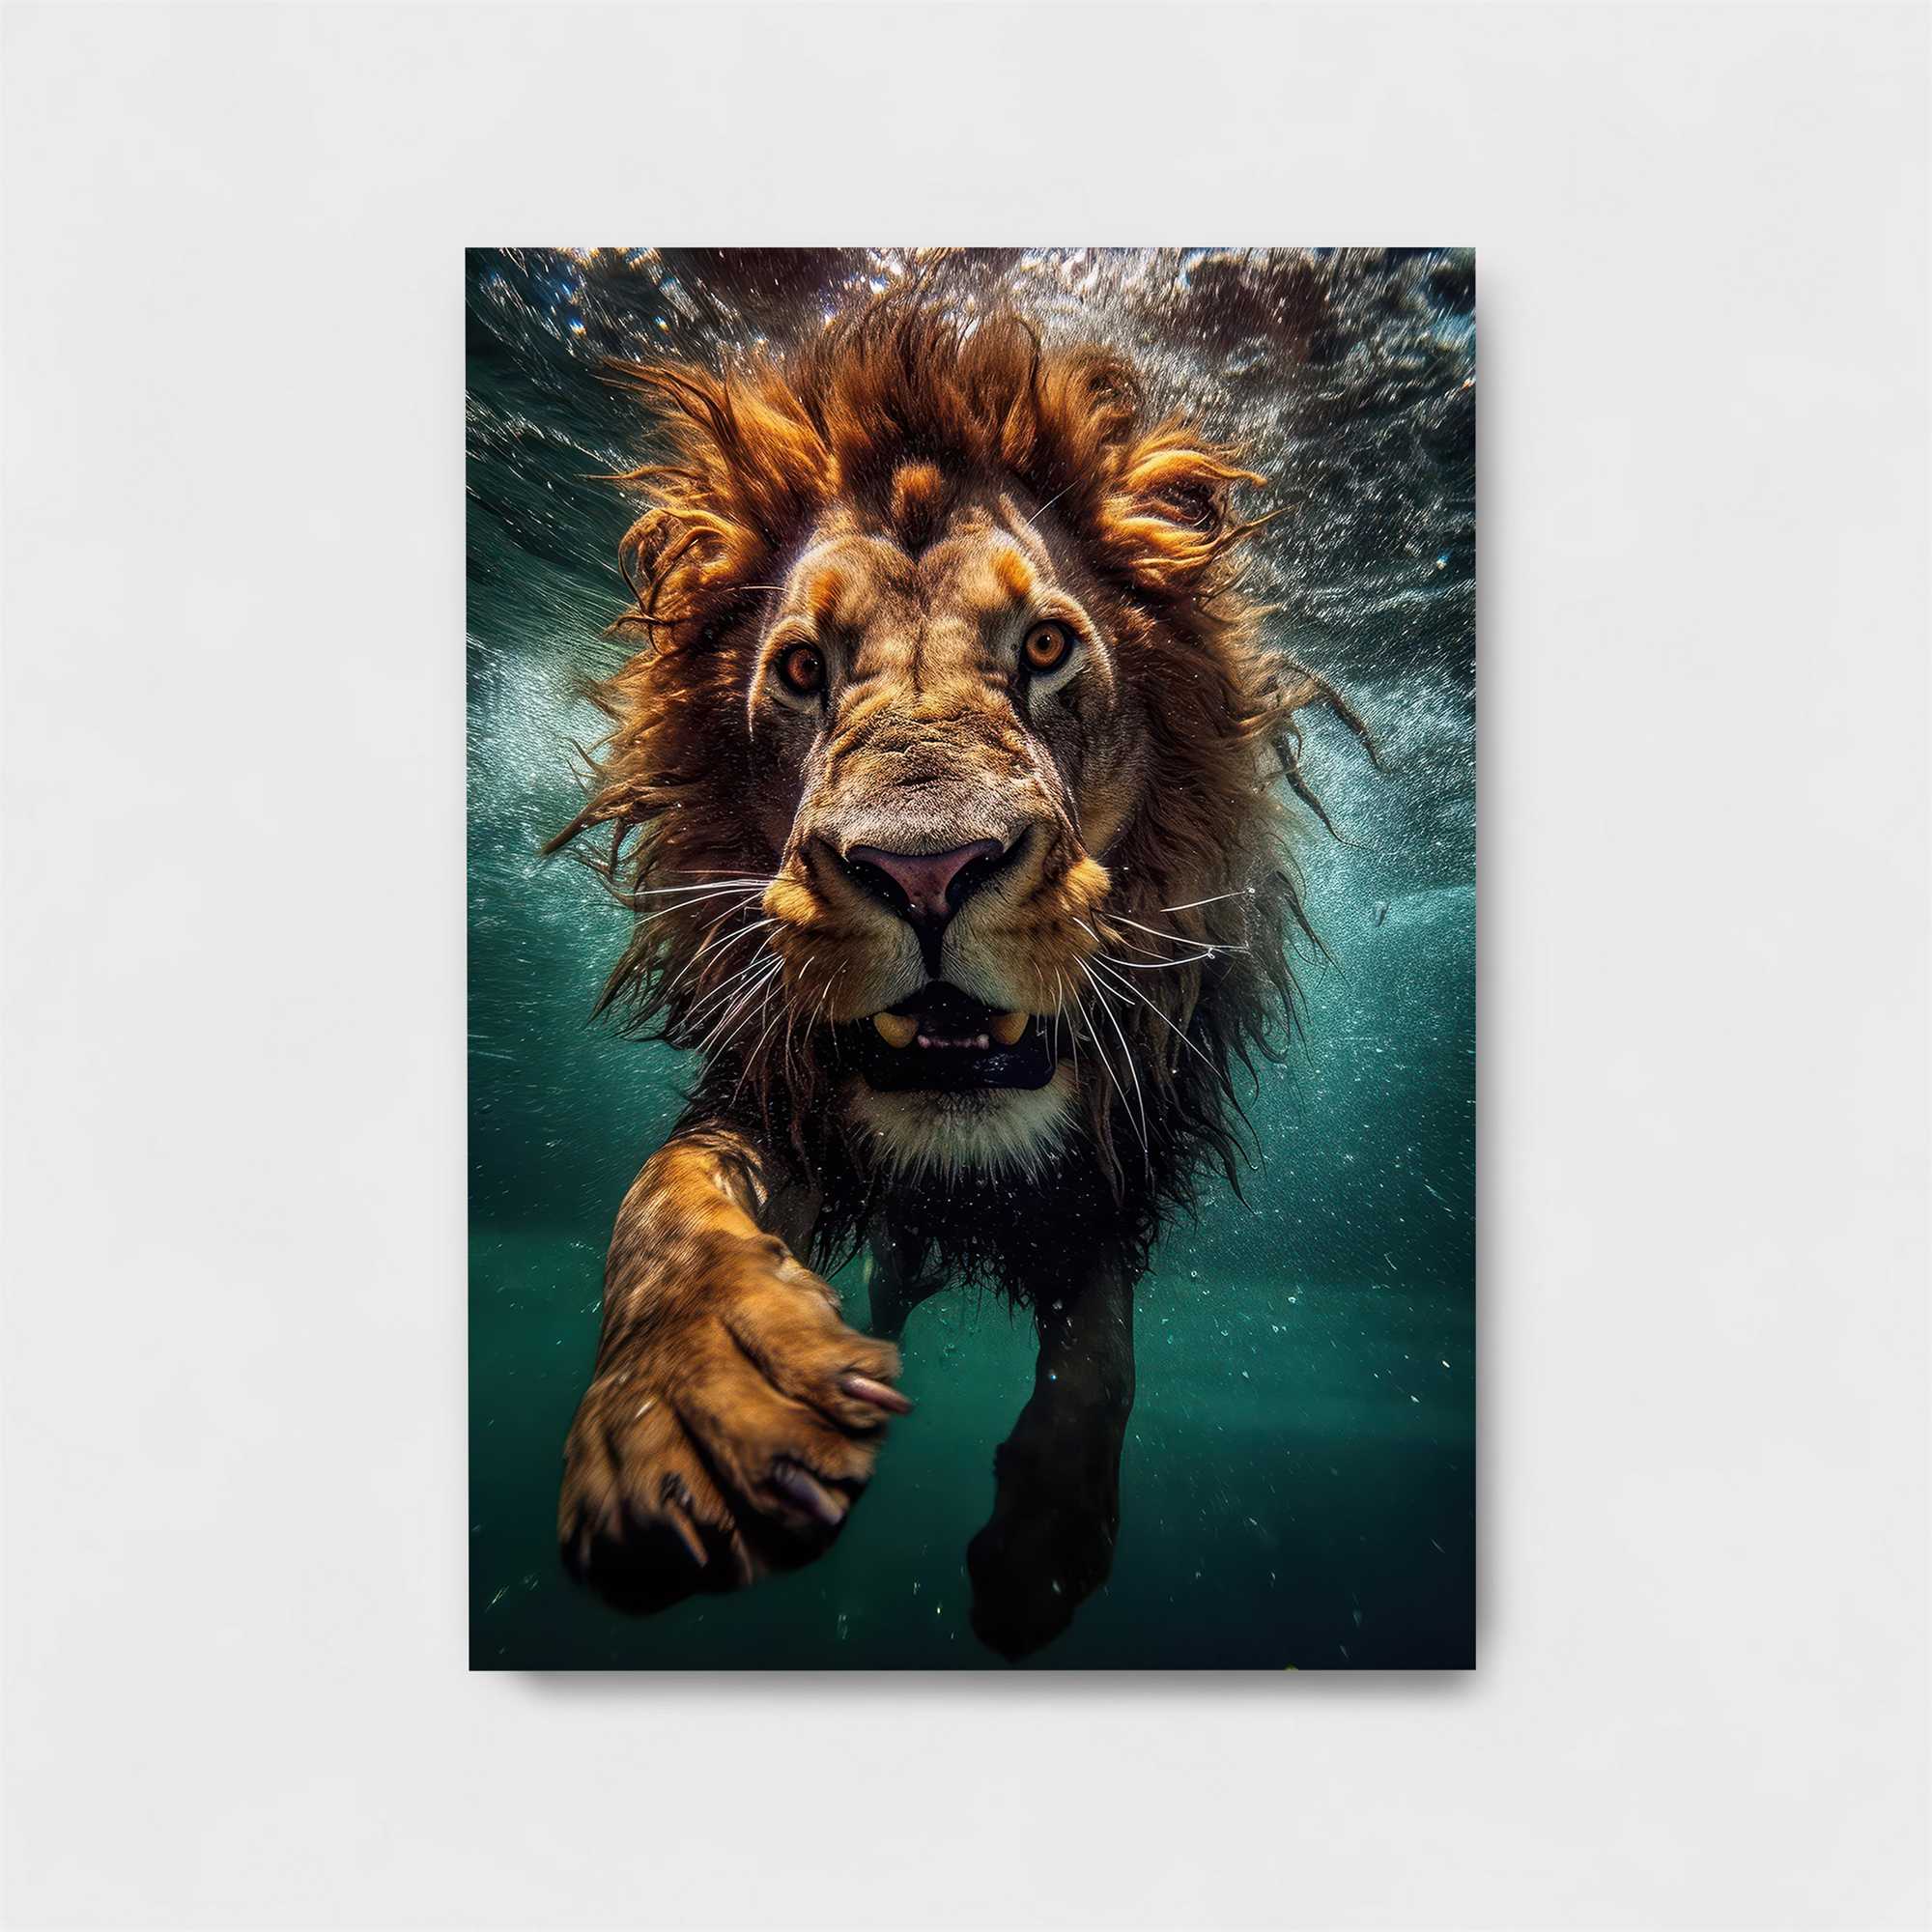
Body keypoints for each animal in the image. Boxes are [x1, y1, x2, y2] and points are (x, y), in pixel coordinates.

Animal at [548, 297, 1368, 1656]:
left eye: (1042, 646)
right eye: (802, 670)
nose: (925, 871)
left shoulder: (1115, 1159)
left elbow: (1098, 1341)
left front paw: (1042, 1547)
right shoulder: (777, 1091)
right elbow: (666, 1200)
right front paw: (694, 1408)